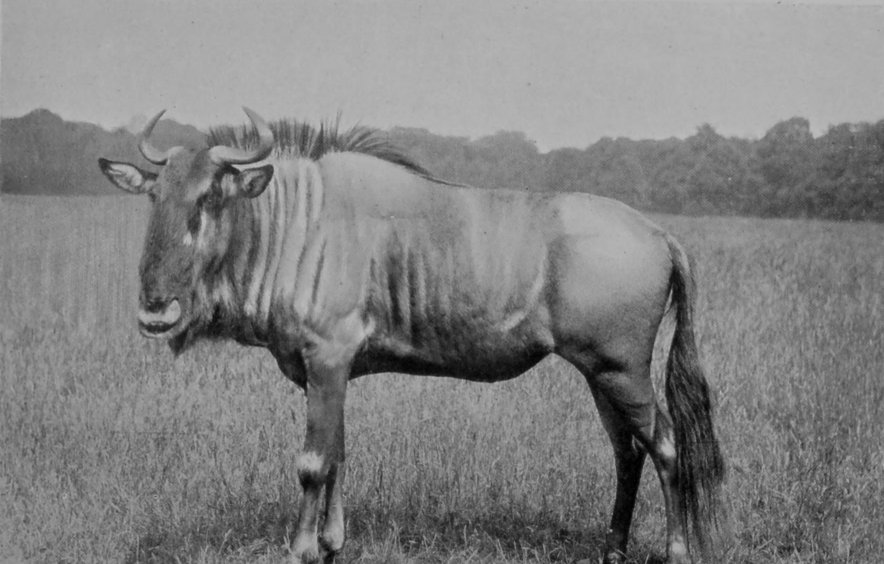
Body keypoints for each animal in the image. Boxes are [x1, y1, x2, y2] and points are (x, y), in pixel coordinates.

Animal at [98, 108, 724, 564]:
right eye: (154, 196)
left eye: (209, 197)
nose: (155, 310)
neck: (297, 224)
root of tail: (659, 234)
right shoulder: (328, 372)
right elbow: (338, 454)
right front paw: (332, 545)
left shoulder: (327, 360)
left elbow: (312, 462)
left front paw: (301, 548)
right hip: (600, 374)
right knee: (627, 452)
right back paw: (612, 550)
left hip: (623, 372)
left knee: (666, 446)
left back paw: (676, 551)